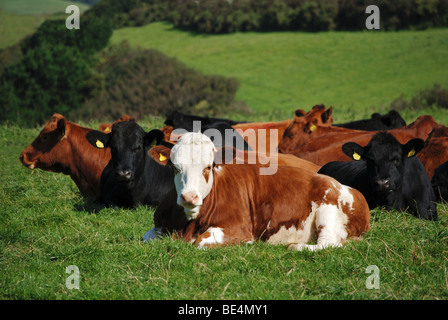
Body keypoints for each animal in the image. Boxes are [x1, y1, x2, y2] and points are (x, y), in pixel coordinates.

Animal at [144, 132, 372, 250]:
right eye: (175, 167)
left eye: (208, 167)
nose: (189, 197)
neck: (189, 224)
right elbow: (147, 237)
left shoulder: (238, 229)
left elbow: (200, 242)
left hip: (329, 207)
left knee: (330, 243)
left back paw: (295, 245)